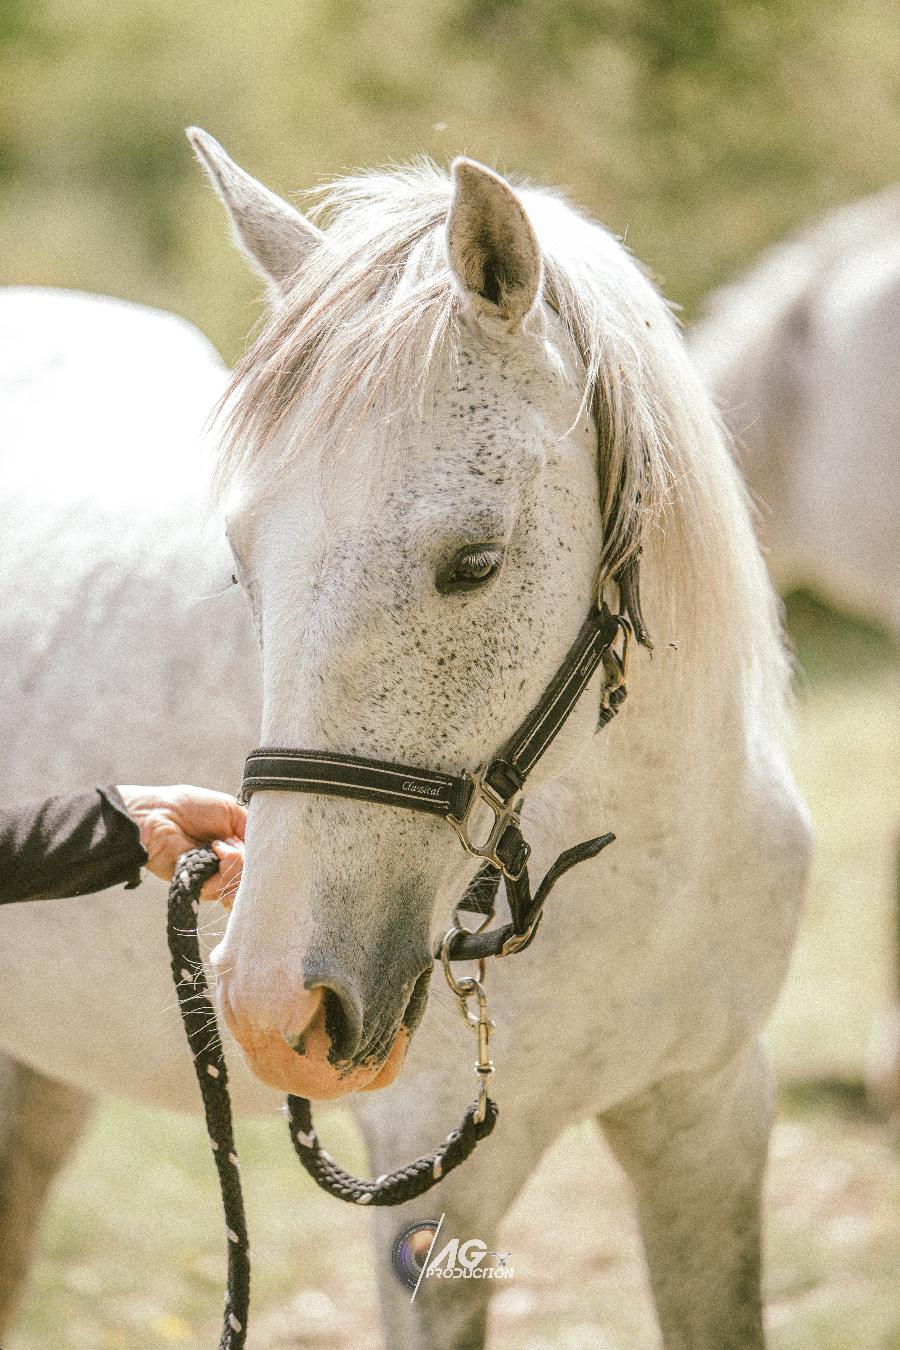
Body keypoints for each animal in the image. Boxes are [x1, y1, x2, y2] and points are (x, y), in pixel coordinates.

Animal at [0, 137, 814, 1350]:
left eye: (473, 562)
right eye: (241, 563)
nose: (270, 1004)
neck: (651, 865)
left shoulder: (710, 1118)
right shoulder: (431, 1207)